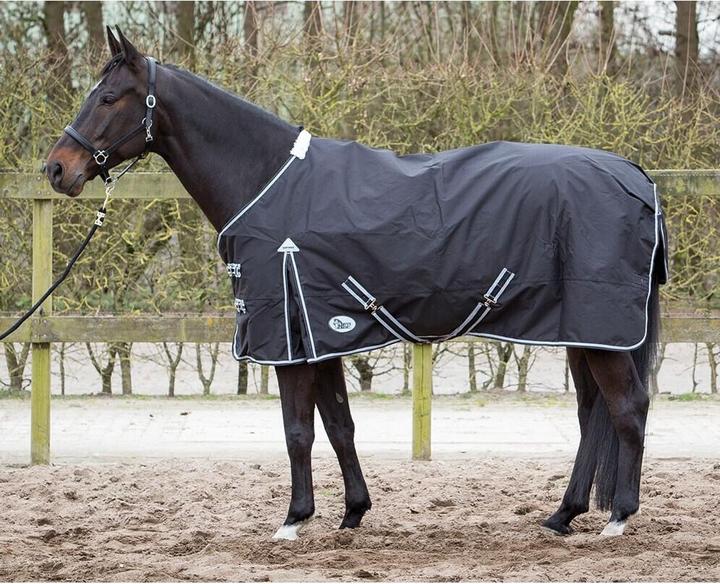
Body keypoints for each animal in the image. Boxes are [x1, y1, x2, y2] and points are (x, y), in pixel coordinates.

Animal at [46, 28, 664, 540]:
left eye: (108, 97)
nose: (56, 168)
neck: (268, 183)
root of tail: (636, 177)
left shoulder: (289, 340)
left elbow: (298, 430)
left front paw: (294, 520)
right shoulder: (320, 335)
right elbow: (339, 424)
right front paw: (352, 513)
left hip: (601, 330)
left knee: (628, 406)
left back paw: (618, 518)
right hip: (583, 332)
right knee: (592, 414)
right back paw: (563, 515)